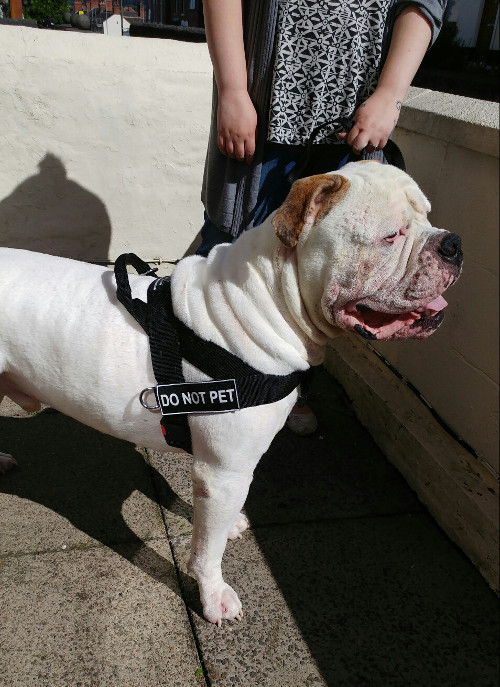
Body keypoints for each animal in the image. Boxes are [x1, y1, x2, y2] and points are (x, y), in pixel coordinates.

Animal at [0, 164, 460, 628]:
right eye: (392, 235)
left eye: (427, 216)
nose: (453, 243)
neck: (265, 303)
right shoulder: (225, 471)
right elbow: (207, 552)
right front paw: (214, 595)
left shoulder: (215, 472)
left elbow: (207, 522)